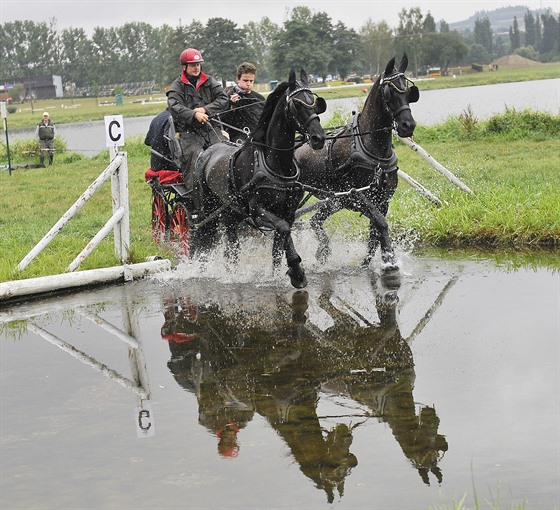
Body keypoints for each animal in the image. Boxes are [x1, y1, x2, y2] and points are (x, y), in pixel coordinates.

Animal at [191, 69, 326, 288]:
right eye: (296, 104)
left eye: (315, 103)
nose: (318, 138)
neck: (276, 164)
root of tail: (207, 150)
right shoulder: (258, 211)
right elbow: (283, 230)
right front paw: (297, 270)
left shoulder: (288, 212)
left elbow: (278, 246)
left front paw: (281, 274)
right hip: (208, 210)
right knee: (206, 240)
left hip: (230, 212)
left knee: (232, 248)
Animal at [296, 55, 418, 268]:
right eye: (390, 91)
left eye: (410, 91)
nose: (408, 125)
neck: (371, 149)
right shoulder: (356, 195)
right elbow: (380, 223)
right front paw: (390, 257)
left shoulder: (382, 199)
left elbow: (374, 234)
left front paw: (370, 262)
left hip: (334, 200)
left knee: (315, 221)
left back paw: (323, 250)